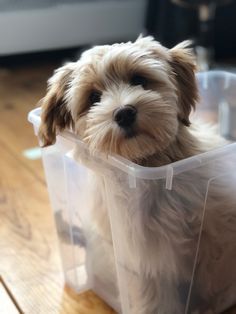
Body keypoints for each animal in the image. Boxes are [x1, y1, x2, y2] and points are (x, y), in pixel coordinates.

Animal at [37, 35, 236, 312]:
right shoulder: (147, 262)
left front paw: (215, 299)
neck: (152, 164)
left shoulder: (220, 226)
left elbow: (218, 267)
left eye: (139, 80)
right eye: (94, 97)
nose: (124, 113)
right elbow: (156, 299)